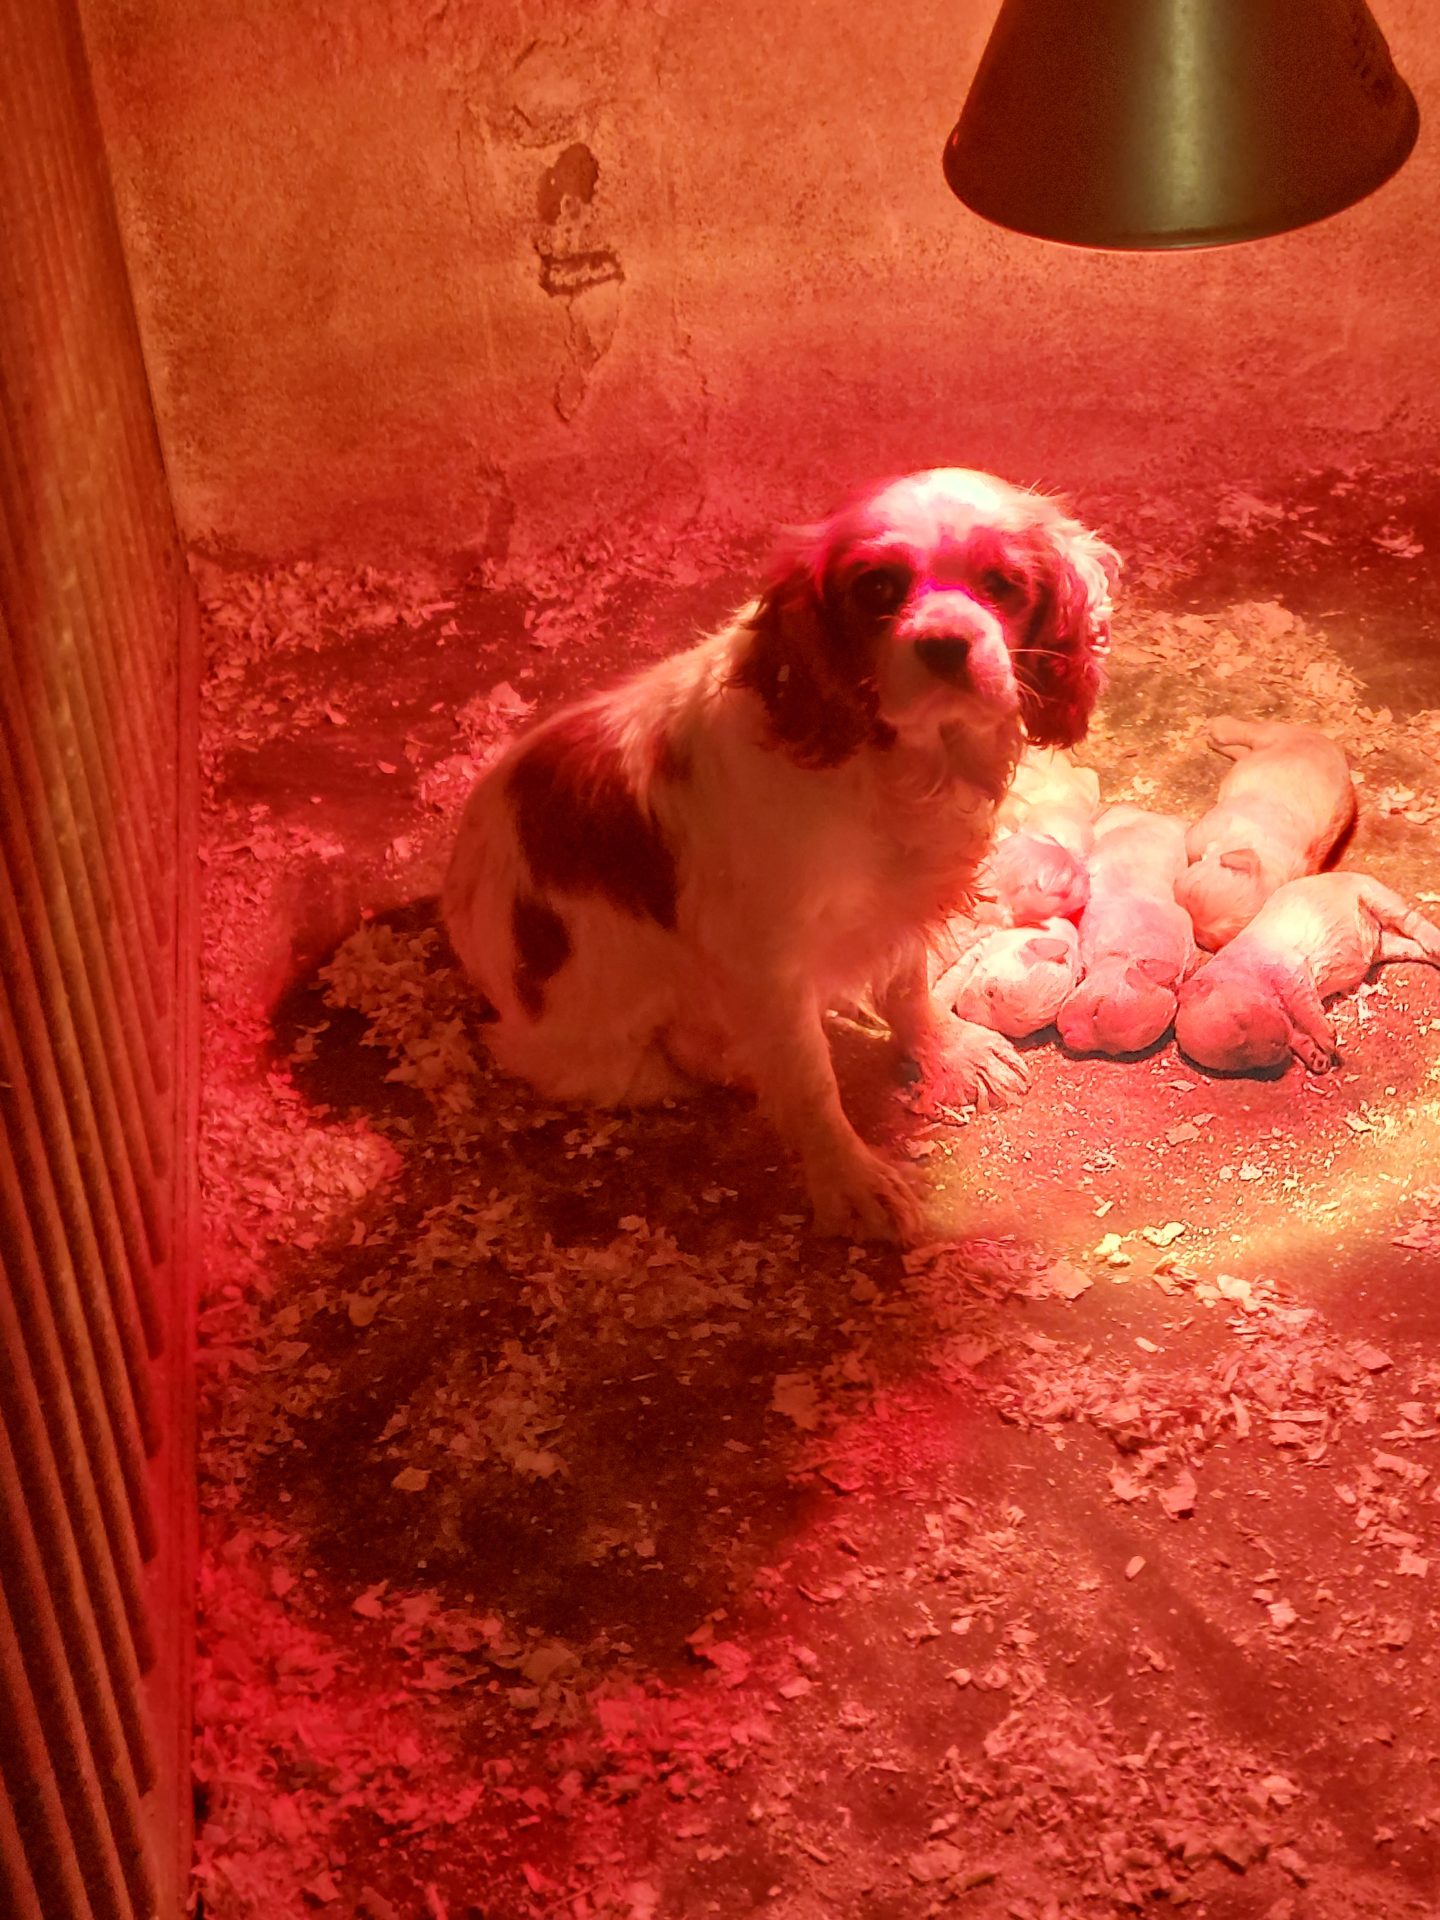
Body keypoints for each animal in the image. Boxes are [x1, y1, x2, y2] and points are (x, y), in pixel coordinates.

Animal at [1175, 718, 1359, 948]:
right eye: (1193, 892)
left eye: (1203, 942)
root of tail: (1333, 746)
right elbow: (1190, 845)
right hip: (1276, 734)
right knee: (1248, 732)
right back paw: (1218, 727)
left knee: (1243, 751)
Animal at [1175, 875, 1440, 1075]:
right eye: (1241, 1059)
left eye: (1241, 1019)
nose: (1280, 1044)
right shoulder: (1289, 1018)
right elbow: (1298, 1034)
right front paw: (1319, 1061)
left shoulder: (1289, 969)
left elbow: (1304, 1003)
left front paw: (1330, 1041)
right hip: (1386, 945)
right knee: (1408, 945)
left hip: (1374, 894)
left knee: (1410, 920)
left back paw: (1435, 944)